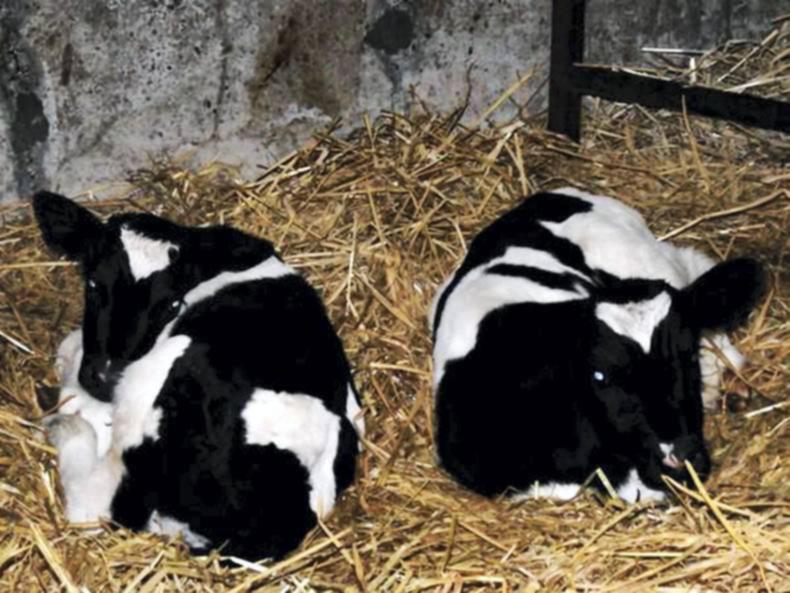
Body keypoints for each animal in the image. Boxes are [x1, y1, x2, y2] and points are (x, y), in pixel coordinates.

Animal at [34, 191, 364, 560]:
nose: (103, 379)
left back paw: (66, 429)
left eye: (169, 305)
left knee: (92, 505)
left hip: (164, 372)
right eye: (93, 284)